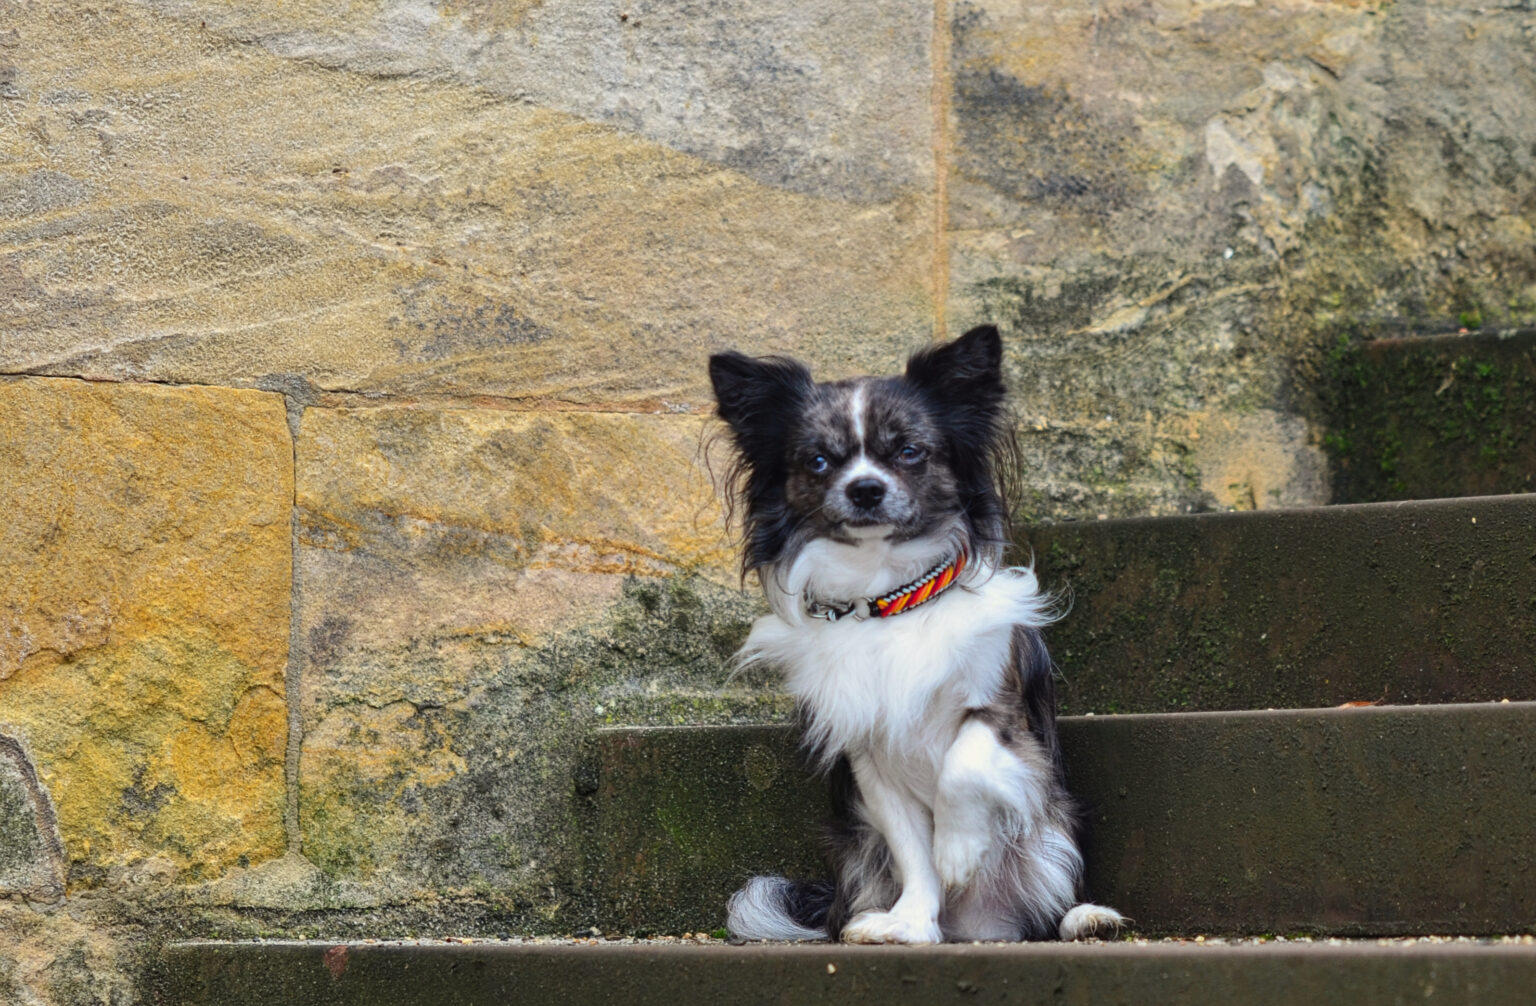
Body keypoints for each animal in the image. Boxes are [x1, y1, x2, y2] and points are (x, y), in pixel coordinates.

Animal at [703, 324, 1118, 946]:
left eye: (908, 452)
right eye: (818, 461)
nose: (865, 489)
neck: (889, 600)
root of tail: (978, 927)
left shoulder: (1003, 717)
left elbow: (962, 765)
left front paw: (959, 850)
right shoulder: (870, 762)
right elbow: (914, 852)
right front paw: (912, 921)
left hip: (1052, 833)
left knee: (1046, 912)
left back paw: (1085, 919)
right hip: (859, 852)